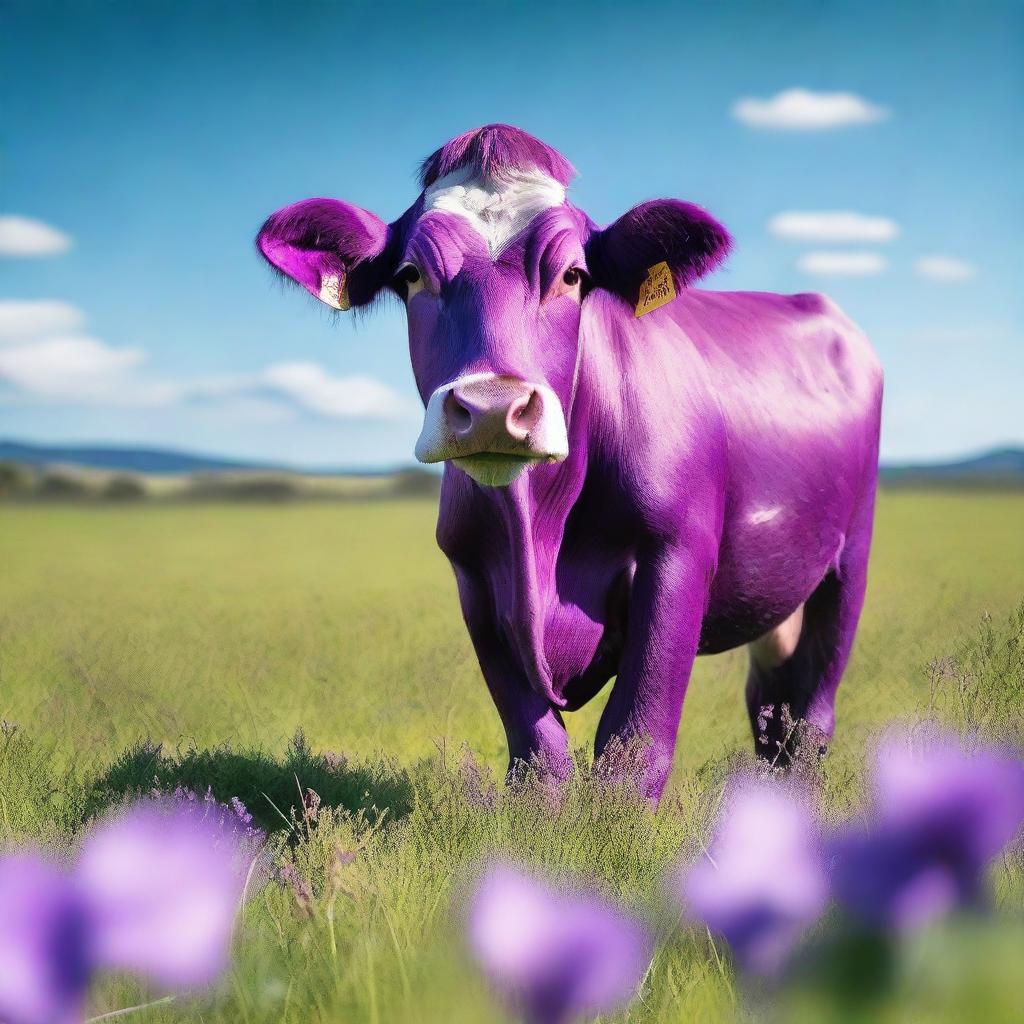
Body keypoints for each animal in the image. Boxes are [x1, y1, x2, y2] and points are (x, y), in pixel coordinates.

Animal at [256, 125, 880, 798]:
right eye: (412, 274)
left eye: (574, 275)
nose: (492, 408)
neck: (540, 528)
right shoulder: (471, 572)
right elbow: (537, 748)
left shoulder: (677, 552)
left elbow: (635, 736)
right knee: (772, 706)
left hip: (850, 556)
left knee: (812, 710)